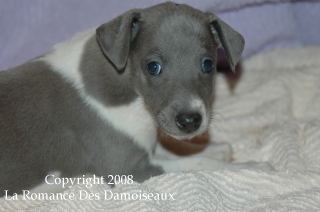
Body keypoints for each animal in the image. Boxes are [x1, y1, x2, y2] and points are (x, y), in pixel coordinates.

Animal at [0, 2, 245, 196]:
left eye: (208, 65)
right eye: (153, 67)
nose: (189, 121)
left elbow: (176, 151)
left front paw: (215, 148)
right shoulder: (128, 169)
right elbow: (198, 163)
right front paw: (249, 166)